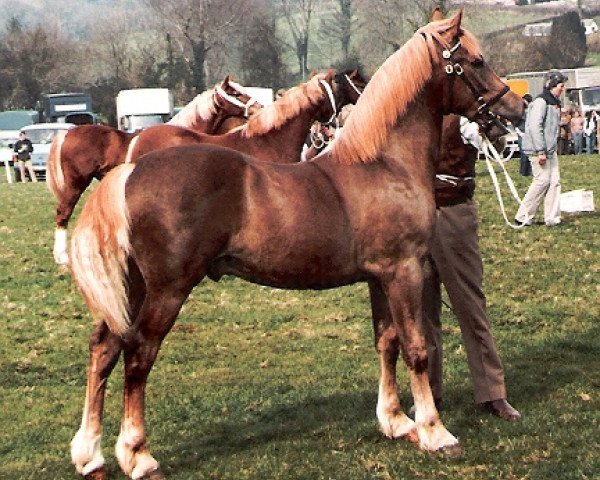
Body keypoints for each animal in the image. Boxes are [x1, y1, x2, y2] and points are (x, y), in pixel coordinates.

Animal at [47, 78, 260, 266]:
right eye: (235, 93)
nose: (258, 107)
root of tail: (67, 134)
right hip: (76, 183)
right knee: (63, 212)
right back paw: (62, 257)